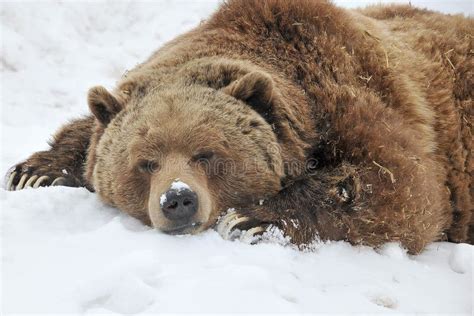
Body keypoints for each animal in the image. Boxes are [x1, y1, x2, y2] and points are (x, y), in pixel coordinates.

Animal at [5, 0, 472, 253]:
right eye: (146, 162)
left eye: (206, 154)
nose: (178, 200)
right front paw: (33, 172)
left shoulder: (357, 100)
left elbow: (401, 188)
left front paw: (249, 218)